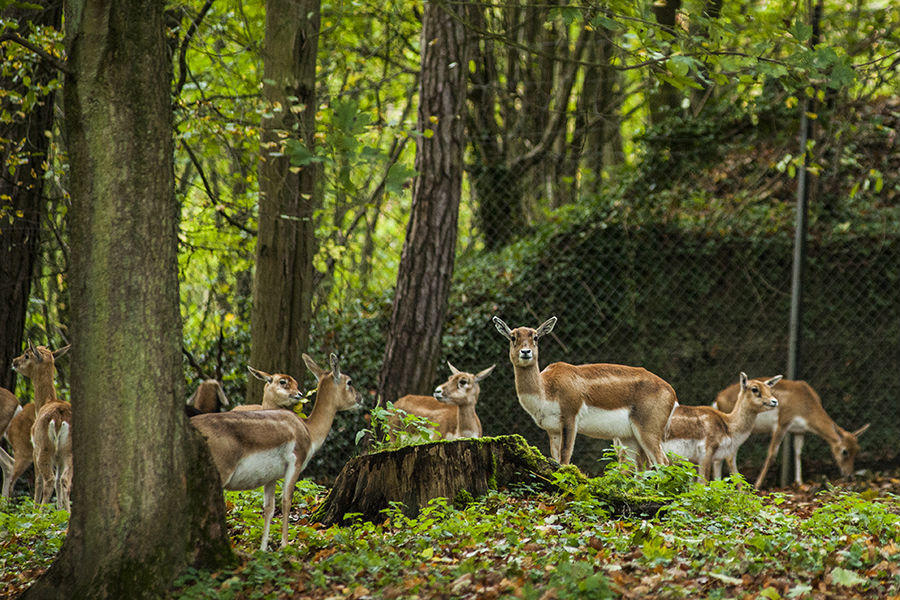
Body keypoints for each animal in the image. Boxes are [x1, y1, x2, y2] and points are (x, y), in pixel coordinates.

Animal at [2, 340, 70, 500]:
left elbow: (38, 481)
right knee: (64, 480)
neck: (45, 402)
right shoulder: (59, 457)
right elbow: (59, 484)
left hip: (43, 448)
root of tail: (59, 419)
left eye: (27, 355)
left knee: (48, 480)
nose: (14, 361)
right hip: (67, 451)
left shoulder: (35, 447)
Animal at [190, 354, 362, 552]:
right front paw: (285, 545)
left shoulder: (270, 477)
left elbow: (269, 508)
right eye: (349, 381)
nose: (360, 398)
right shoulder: (295, 462)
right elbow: (286, 501)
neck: (309, 431)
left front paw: (264, 548)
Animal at [492, 316, 676, 466]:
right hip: (629, 437)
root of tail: (671, 392)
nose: (525, 352)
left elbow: (565, 458)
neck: (546, 390)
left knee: (662, 462)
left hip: (648, 430)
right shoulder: (552, 430)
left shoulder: (570, 417)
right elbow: (556, 458)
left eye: (535, 337)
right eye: (513, 337)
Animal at [652, 372, 780, 480]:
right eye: (754, 389)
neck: (728, 426)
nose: (774, 401)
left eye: (769, 388)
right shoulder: (706, 452)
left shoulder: (700, 460)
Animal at [712, 380, 868, 488]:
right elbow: (772, 455)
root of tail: (717, 400)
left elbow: (798, 453)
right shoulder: (782, 423)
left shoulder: (798, 431)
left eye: (857, 450)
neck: (805, 406)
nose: (849, 476)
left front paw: (800, 483)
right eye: (844, 451)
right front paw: (757, 485)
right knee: (728, 456)